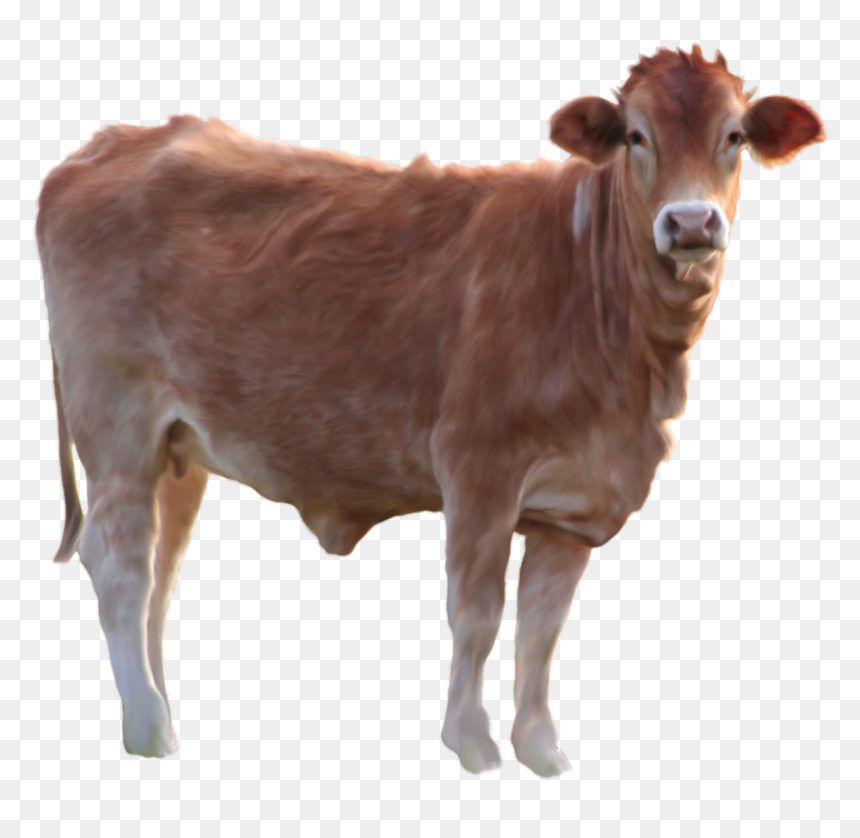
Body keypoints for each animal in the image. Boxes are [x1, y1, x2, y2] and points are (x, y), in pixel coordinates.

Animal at [37, 46, 824, 776]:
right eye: (636, 135)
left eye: (733, 135)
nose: (690, 222)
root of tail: (108, 144)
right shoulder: (478, 467)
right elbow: (478, 615)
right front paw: (472, 742)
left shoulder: (575, 504)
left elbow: (542, 629)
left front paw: (542, 750)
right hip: (117, 424)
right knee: (121, 567)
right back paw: (149, 726)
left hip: (178, 449)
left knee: (159, 576)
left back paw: (159, 717)